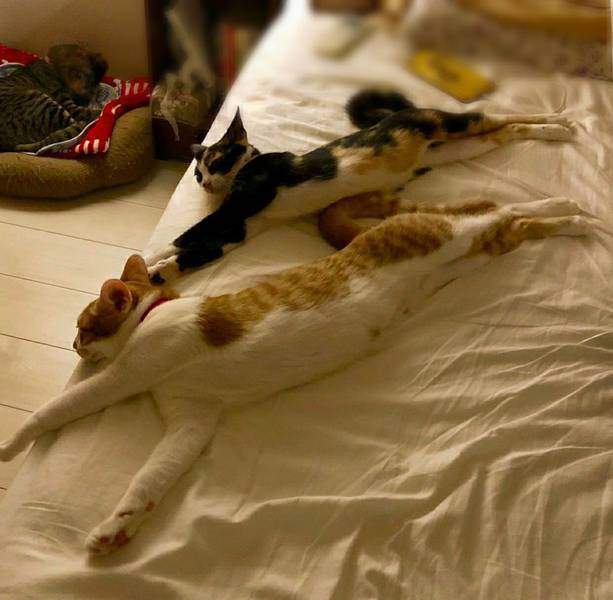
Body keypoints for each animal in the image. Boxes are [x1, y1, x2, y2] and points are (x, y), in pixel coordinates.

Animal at [0, 195, 590, 555]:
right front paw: (118, 528)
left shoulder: (129, 374)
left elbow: (57, 408)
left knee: (496, 205)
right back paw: (570, 216)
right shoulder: (193, 421)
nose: (72, 345)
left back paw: (570, 209)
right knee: (515, 221)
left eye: (82, 325)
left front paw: (10, 445)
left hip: (451, 234)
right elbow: (151, 479)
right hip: (475, 256)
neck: (156, 314)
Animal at [145, 89, 574, 282]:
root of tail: (400, 114)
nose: (205, 183)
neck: (247, 167)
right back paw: (553, 130)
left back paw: (560, 121)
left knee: (497, 116)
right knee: (505, 133)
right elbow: (197, 250)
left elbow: (189, 234)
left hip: (450, 124)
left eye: (214, 163)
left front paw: (150, 259)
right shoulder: (241, 228)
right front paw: (158, 273)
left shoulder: (241, 204)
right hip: (455, 149)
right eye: (197, 174)